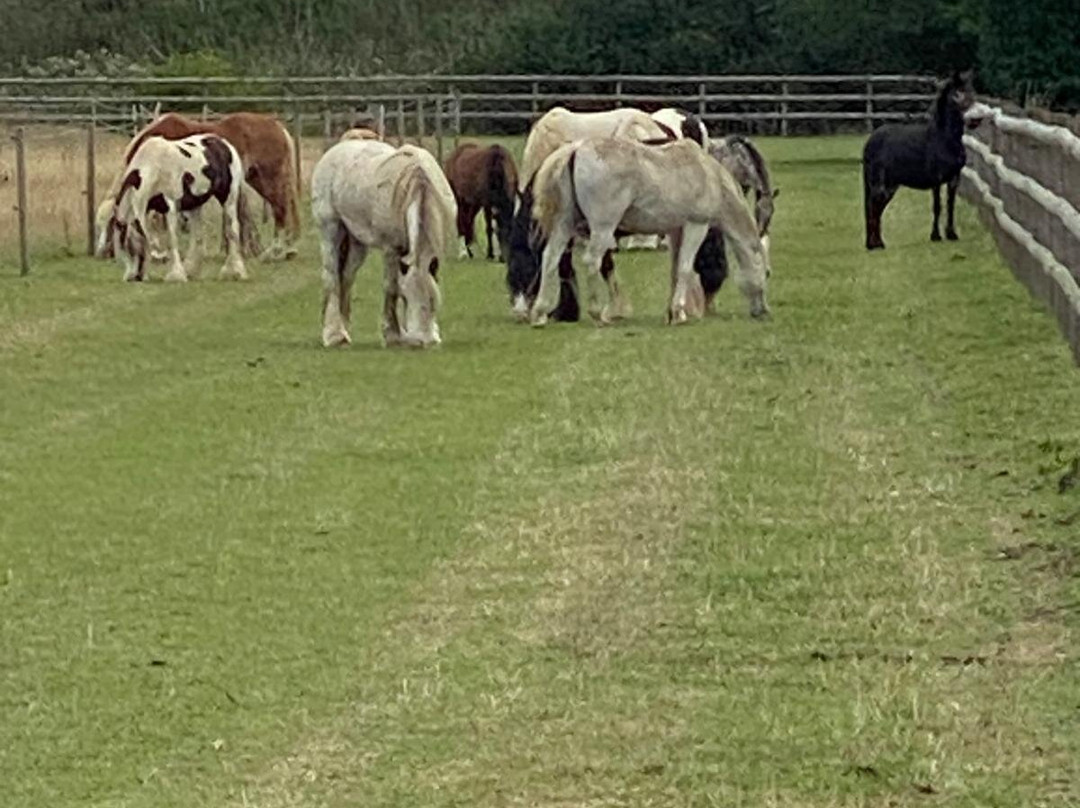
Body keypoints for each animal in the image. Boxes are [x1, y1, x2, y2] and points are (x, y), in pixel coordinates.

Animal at [97, 112, 299, 260]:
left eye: (112, 224)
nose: (102, 253)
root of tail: (278, 127)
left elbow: (154, 219)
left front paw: (158, 251)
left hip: (268, 179)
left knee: (281, 208)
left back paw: (277, 250)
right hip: (258, 179)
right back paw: (285, 249)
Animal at [106, 134, 246, 283]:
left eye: (132, 247)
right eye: (124, 247)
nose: (135, 277)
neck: (154, 166)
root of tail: (225, 143)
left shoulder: (170, 207)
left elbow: (172, 240)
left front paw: (176, 275)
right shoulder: (147, 211)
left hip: (229, 198)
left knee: (232, 229)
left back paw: (234, 272)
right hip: (195, 204)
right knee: (197, 236)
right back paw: (191, 271)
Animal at [311, 139, 457, 348]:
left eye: (433, 300)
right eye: (406, 296)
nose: (424, 340)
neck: (418, 186)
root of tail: (334, 150)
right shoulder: (391, 249)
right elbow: (391, 287)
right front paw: (393, 335)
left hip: (357, 243)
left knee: (346, 277)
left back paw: (344, 328)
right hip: (330, 229)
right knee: (331, 277)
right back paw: (334, 335)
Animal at [529, 138, 770, 326]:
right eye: (767, 273)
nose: (764, 311)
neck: (709, 176)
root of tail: (577, 148)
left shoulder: (676, 231)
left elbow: (675, 270)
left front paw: (673, 313)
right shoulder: (696, 226)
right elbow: (685, 268)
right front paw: (679, 312)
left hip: (564, 225)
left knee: (549, 258)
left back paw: (539, 314)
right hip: (602, 229)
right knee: (592, 261)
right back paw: (598, 314)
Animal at [862, 71, 978, 250]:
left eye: (972, 92)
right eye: (956, 94)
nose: (974, 120)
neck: (943, 139)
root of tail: (871, 140)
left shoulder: (954, 178)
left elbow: (950, 205)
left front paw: (951, 234)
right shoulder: (936, 179)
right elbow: (937, 206)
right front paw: (935, 236)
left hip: (891, 186)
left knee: (877, 209)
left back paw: (878, 243)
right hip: (880, 184)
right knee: (873, 208)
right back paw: (874, 245)